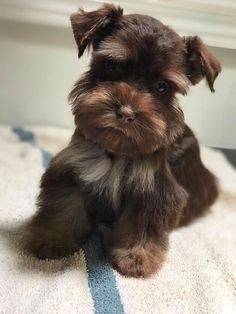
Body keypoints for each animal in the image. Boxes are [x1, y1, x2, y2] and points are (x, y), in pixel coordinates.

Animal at [24, 3, 221, 278]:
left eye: (163, 86)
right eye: (112, 67)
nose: (126, 113)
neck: (116, 150)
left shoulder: (153, 191)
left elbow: (143, 225)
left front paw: (136, 257)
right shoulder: (72, 170)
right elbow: (62, 207)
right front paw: (50, 239)